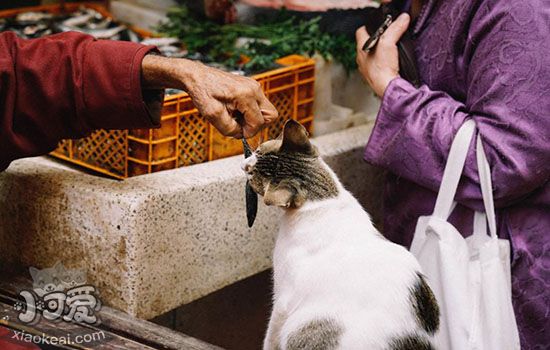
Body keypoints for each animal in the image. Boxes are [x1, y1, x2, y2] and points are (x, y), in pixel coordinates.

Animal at [244, 119, 442, 348]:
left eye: (252, 175)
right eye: (259, 150)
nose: (245, 164)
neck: (324, 200)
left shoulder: (283, 299)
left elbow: (270, 335)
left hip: (300, 326)